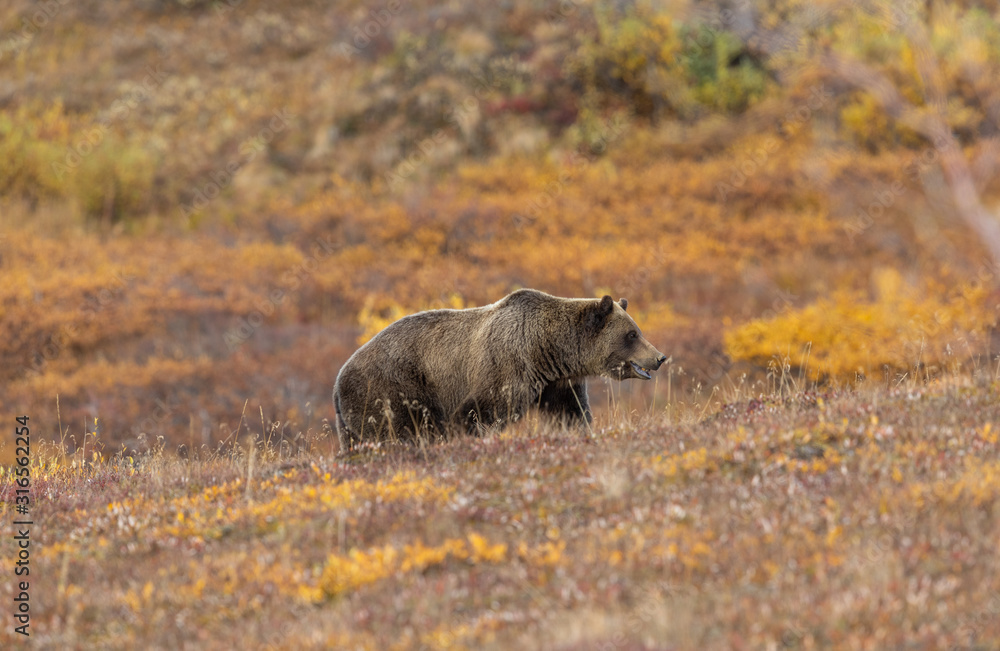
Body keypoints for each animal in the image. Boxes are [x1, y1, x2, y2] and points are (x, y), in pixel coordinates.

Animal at [333, 289, 667, 449]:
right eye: (632, 334)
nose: (660, 357)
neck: (546, 350)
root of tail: (337, 381)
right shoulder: (506, 369)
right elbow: (480, 413)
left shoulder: (557, 383)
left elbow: (571, 413)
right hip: (392, 389)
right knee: (402, 430)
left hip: (350, 421)